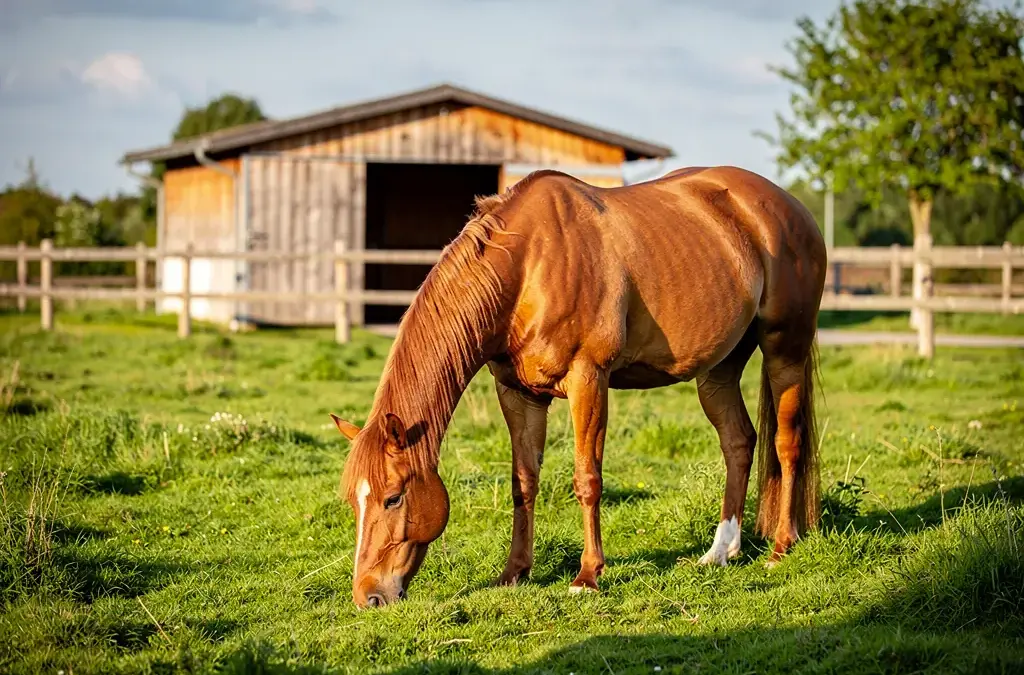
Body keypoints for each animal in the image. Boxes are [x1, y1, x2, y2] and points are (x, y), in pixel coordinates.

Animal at [329, 165, 827, 608]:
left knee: (787, 444)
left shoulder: (589, 380)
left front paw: (587, 576)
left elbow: (587, 479)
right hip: (718, 371)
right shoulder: (518, 393)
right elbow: (523, 482)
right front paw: (514, 572)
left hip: (784, 351)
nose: (368, 596)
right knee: (739, 443)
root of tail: (791, 208)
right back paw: (721, 551)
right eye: (353, 501)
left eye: (393, 498)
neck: (526, 266)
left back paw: (781, 548)